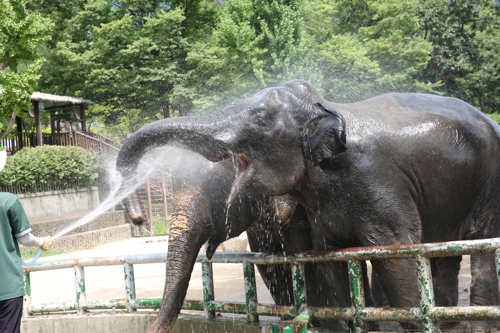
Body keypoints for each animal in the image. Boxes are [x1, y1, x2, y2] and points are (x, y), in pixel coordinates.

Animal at [115, 80, 500, 330]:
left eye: (258, 120)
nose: (138, 217)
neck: (326, 110)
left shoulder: (376, 181)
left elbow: (396, 254)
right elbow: (322, 262)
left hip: (490, 181)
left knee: (477, 245)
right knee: (444, 254)